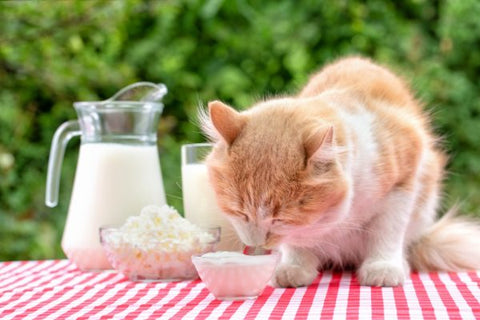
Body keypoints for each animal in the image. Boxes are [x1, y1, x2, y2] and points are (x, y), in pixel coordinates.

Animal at [198, 57, 480, 288]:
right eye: (239, 212)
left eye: (280, 219)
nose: (257, 243)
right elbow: (296, 243)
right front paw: (294, 267)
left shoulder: (403, 185)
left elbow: (388, 232)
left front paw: (383, 267)